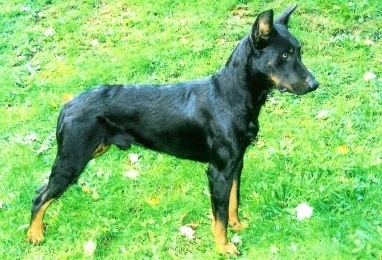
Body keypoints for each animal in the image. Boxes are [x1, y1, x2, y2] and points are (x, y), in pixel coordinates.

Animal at [28, 5, 318, 255]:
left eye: (298, 51)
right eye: (284, 55)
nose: (314, 84)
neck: (232, 96)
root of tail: (67, 106)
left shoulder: (236, 164)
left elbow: (233, 203)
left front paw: (237, 226)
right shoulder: (218, 171)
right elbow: (219, 216)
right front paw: (223, 247)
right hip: (73, 159)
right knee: (40, 196)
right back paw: (34, 234)